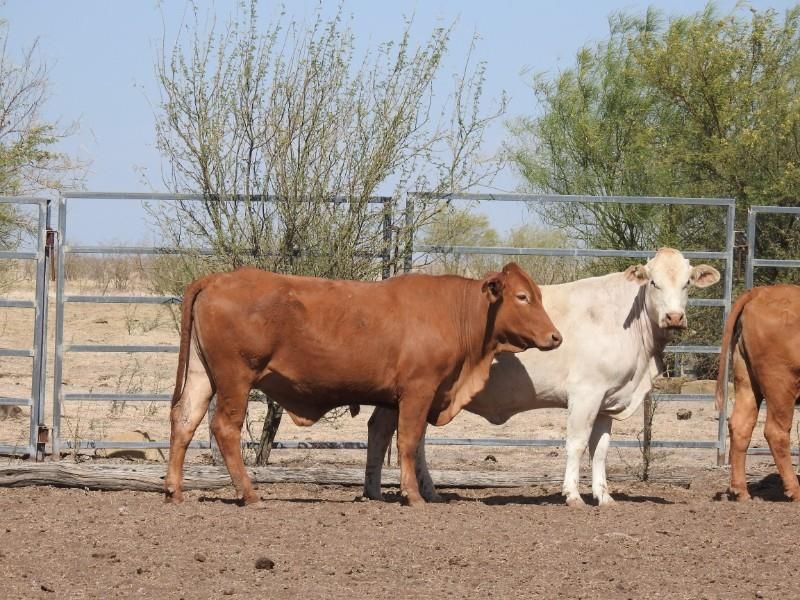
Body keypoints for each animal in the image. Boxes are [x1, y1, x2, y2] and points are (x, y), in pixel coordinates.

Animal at [164, 263, 562, 507]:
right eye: (522, 297)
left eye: (538, 295)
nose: (556, 337)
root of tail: (218, 278)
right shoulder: (419, 390)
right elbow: (408, 443)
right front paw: (413, 496)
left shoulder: (392, 398)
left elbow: (379, 439)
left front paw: (375, 493)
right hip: (236, 378)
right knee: (224, 428)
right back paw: (249, 493)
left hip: (202, 376)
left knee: (185, 419)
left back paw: (174, 490)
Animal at [363, 248, 720, 507]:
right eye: (654, 283)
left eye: (687, 284)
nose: (674, 317)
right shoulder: (586, 393)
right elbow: (577, 443)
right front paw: (573, 495)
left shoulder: (609, 398)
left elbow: (601, 448)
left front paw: (604, 496)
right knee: (393, 432)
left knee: (396, 433)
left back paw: (399, 491)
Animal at [715, 284, 800, 501]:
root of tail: (760, 291)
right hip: (780, 382)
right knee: (776, 432)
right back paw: (795, 490)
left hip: (746, 378)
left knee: (740, 425)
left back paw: (741, 491)